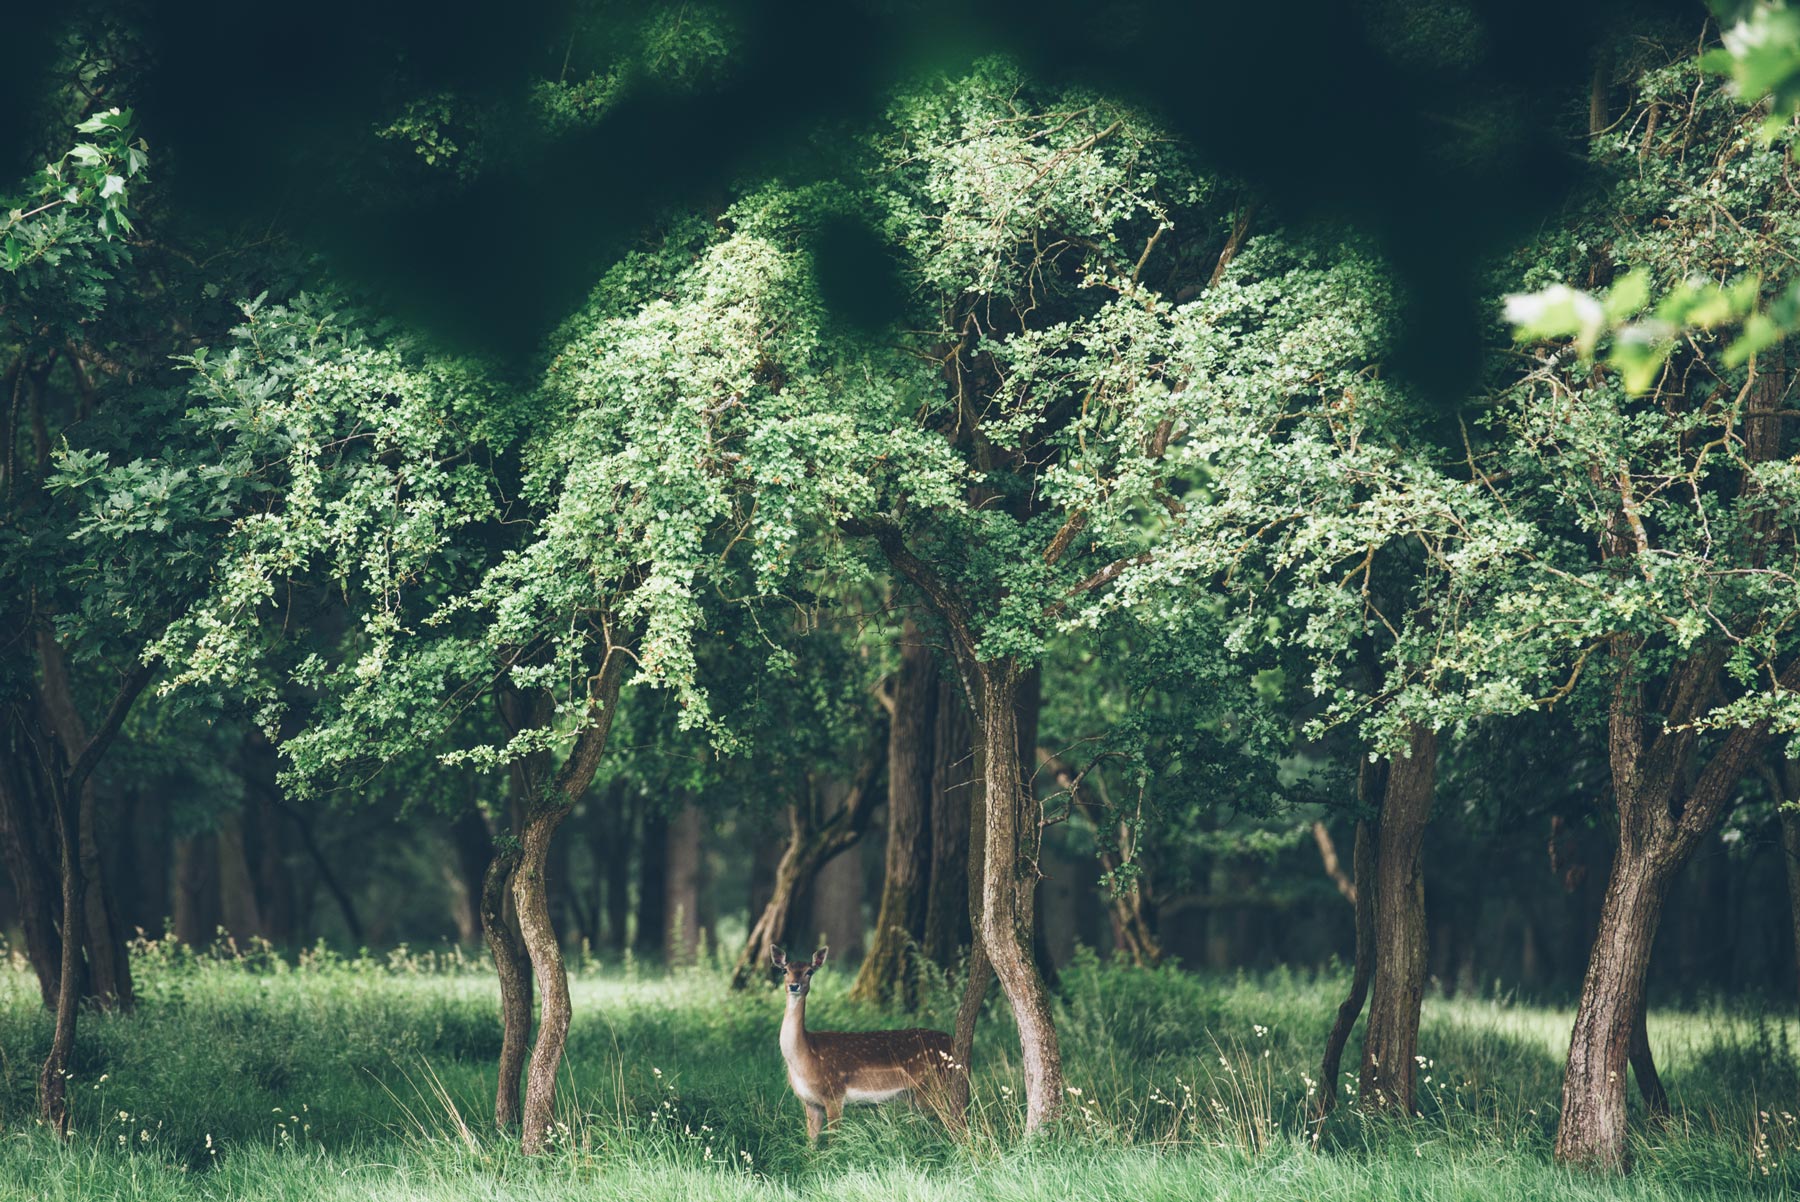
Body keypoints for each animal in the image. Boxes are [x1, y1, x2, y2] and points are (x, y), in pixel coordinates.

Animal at [777, 942, 972, 1144]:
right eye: (784, 970)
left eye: (809, 971)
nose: (794, 985)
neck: (806, 1056)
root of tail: (953, 1042)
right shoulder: (810, 1102)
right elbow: (811, 1143)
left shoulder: (834, 1093)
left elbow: (833, 1141)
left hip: (933, 1086)